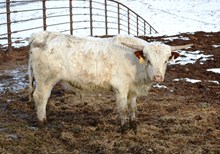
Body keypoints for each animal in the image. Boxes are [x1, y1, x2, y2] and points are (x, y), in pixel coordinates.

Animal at [28, 31, 192, 132]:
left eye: (166, 60)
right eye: (148, 60)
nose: (157, 77)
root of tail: (42, 35)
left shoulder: (132, 90)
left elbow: (133, 108)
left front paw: (134, 125)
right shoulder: (121, 89)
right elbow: (123, 109)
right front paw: (124, 129)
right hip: (45, 80)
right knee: (40, 98)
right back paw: (42, 123)